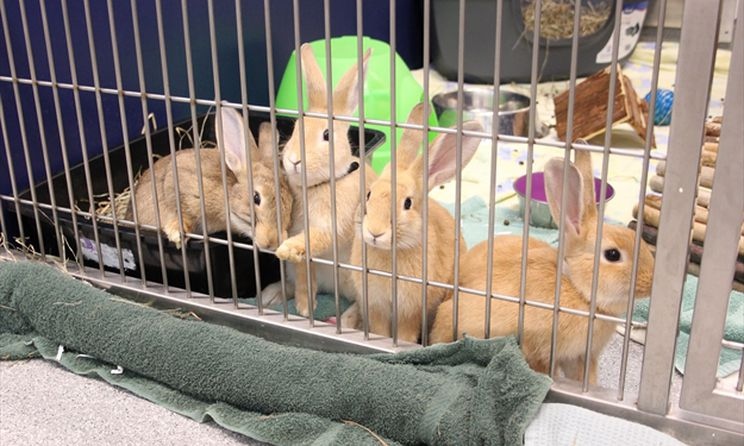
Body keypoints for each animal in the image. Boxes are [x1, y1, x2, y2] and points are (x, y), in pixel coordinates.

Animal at [128, 107, 293, 251]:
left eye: (291, 204)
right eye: (256, 197)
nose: (272, 243)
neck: (226, 196)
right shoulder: (179, 184)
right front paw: (177, 234)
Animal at [262, 43, 376, 318]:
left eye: (326, 135)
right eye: (295, 129)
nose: (294, 160)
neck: (317, 185)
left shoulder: (330, 224)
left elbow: (314, 238)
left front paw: (286, 248)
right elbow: (305, 273)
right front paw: (305, 308)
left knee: (363, 303)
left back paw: (347, 319)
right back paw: (272, 295)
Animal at [348, 103, 484, 343]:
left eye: (408, 203)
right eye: (369, 194)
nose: (375, 232)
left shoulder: (410, 311)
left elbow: (405, 333)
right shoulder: (375, 307)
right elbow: (379, 331)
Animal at [429, 148, 655, 384]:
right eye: (612, 254)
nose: (651, 280)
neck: (578, 290)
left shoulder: (582, 356)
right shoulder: (540, 348)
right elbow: (544, 369)